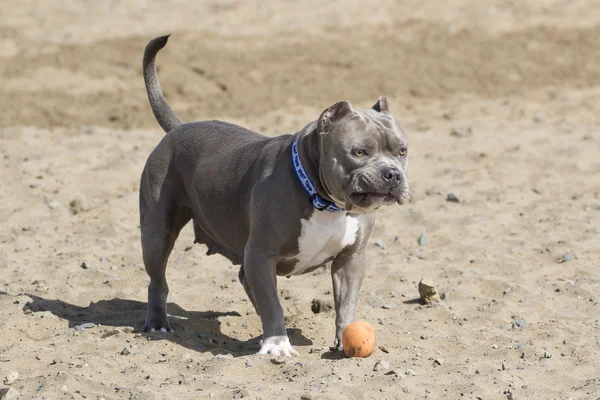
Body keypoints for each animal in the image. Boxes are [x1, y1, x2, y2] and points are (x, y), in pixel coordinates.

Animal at [139, 35, 408, 356]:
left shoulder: (350, 260)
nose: (392, 174)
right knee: (158, 279)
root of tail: (178, 128)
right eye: (358, 152)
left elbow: (346, 303)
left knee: (244, 279)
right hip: (157, 233)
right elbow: (272, 302)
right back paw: (157, 324)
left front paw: (345, 339)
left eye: (402, 151)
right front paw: (277, 344)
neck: (326, 203)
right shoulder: (261, 253)